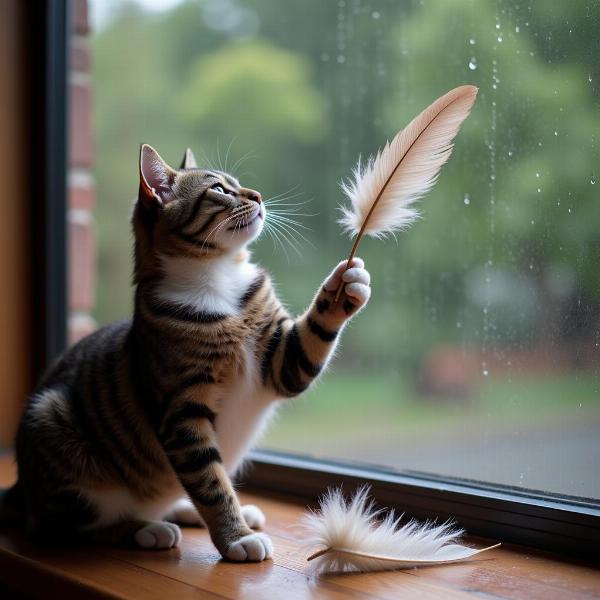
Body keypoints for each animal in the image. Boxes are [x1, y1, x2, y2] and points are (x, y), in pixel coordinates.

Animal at [0, 145, 370, 564]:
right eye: (220, 190)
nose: (258, 196)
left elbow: (309, 342)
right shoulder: (183, 414)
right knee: (74, 527)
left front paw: (345, 284)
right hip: (55, 433)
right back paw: (148, 529)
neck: (218, 280)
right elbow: (211, 483)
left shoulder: (282, 362)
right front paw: (236, 537)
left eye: (239, 184)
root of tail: (21, 491)